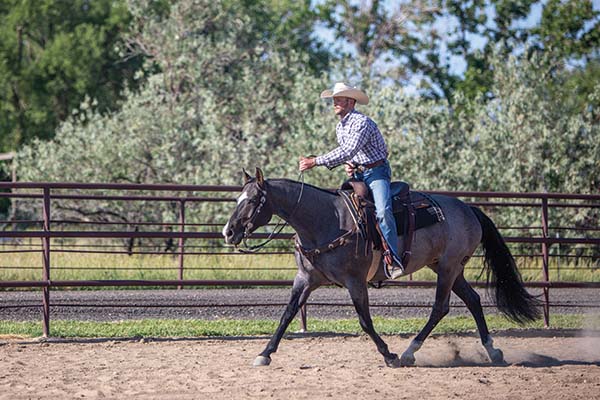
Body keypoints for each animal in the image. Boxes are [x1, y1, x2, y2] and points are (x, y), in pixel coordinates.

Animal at [221, 167, 540, 368]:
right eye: (238, 198)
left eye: (253, 200)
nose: (228, 232)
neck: (326, 220)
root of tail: (468, 209)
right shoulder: (306, 279)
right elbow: (286, 315)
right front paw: (264, 353)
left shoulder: (355, 281)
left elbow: (365, 321)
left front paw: (389, 355)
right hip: (447, 267)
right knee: (472, 300)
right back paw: (493, 350)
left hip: (449, 267)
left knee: (440, 307)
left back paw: (410, 352)